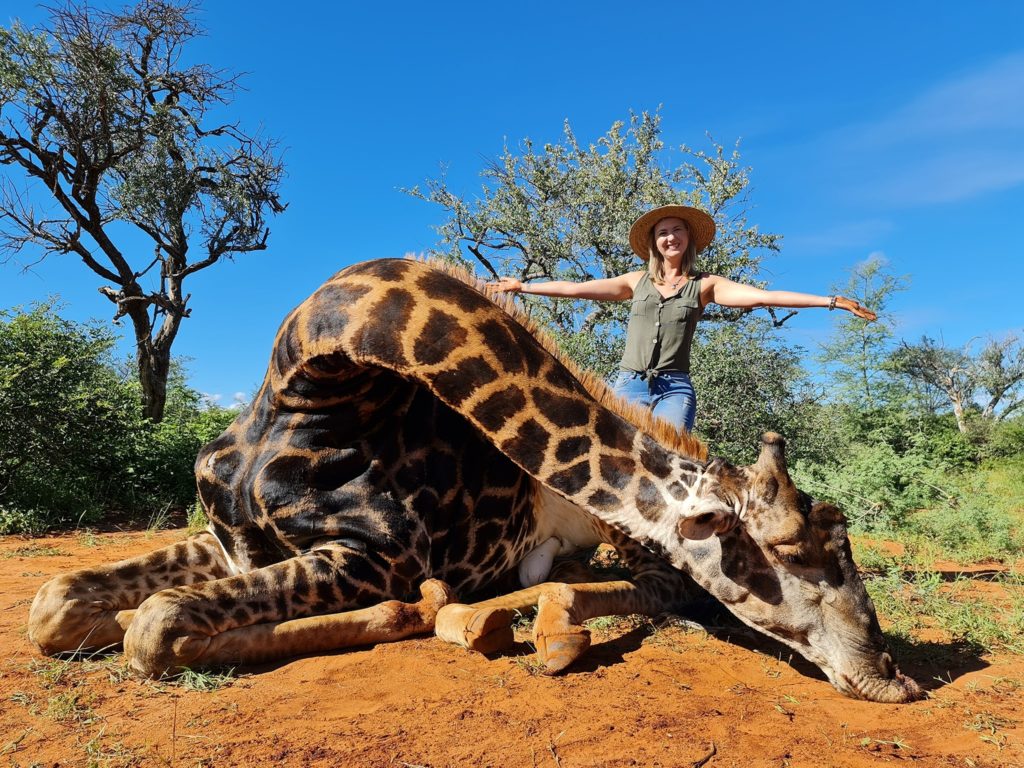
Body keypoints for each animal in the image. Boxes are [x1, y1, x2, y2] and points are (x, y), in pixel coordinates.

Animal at [28, 259, 925, 704]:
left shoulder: (372, 557)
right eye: (796, 556)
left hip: (617, 541)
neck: (307, 386)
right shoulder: (229, 540)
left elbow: (154, 627)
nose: (893, 679)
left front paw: (416, 613)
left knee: (659, 588)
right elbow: (56, 605)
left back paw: (510, 621)